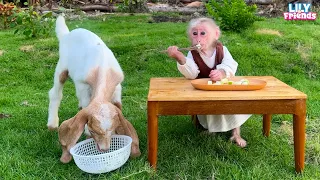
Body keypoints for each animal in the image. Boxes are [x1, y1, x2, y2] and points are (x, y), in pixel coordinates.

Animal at [47, 16, 140, 164]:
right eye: (94, 131)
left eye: (113, 129)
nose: (104, 149)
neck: (103, 69)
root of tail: (67, 34)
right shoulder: (82, 85)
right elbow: (86, 103)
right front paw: (85, 130)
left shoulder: (117, 87)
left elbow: (117, 105)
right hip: (62, 67)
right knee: (55, 93)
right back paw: (52, 123)